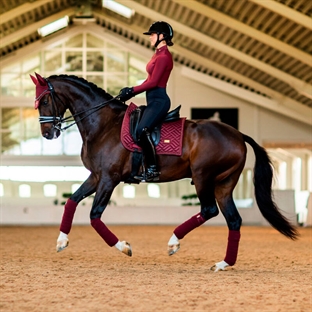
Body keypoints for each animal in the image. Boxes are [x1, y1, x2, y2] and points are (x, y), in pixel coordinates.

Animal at [31, 72, 298, 270]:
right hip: (224, 184)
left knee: (209, 210)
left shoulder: (109, 178)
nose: (48, 133)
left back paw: (174, 242)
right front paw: (61, 241)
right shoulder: (96, 176)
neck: (103, 124)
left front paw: (124, 247)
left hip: (203, 177)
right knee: (233, 219)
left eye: (44, 100)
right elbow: (72, 201)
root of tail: (238, 134)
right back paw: (223, 263)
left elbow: (94, 216)